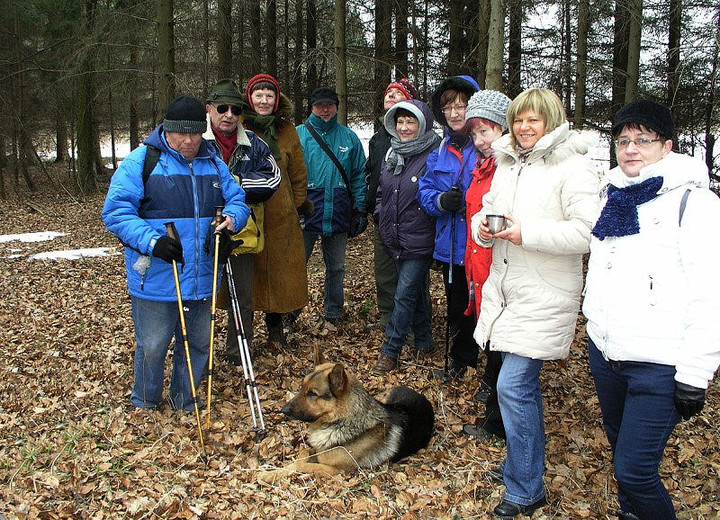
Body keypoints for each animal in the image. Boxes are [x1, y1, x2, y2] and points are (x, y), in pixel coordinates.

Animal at [262, 358, 436, 480]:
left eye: (312, 393)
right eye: (302, 387)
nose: (283, 410)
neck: (339, 422)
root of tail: (424, 398)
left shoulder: (336, 471)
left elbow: (301, 464)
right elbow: (302, 455)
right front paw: (271, 472)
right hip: (384, 397)